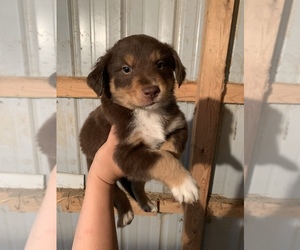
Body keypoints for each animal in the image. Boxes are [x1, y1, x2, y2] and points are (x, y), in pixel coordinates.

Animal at [79, 34, 199, 228]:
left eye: (160, 64)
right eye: (126, 69)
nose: (152, 90)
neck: (147, 113)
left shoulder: (179, 127)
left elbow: (167, 151)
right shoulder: (123, 153)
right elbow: (162, 159)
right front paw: (185, 185)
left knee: (136, 184)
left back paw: (146, 203)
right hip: (93, 163)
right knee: (116, 190)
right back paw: (126, 213)